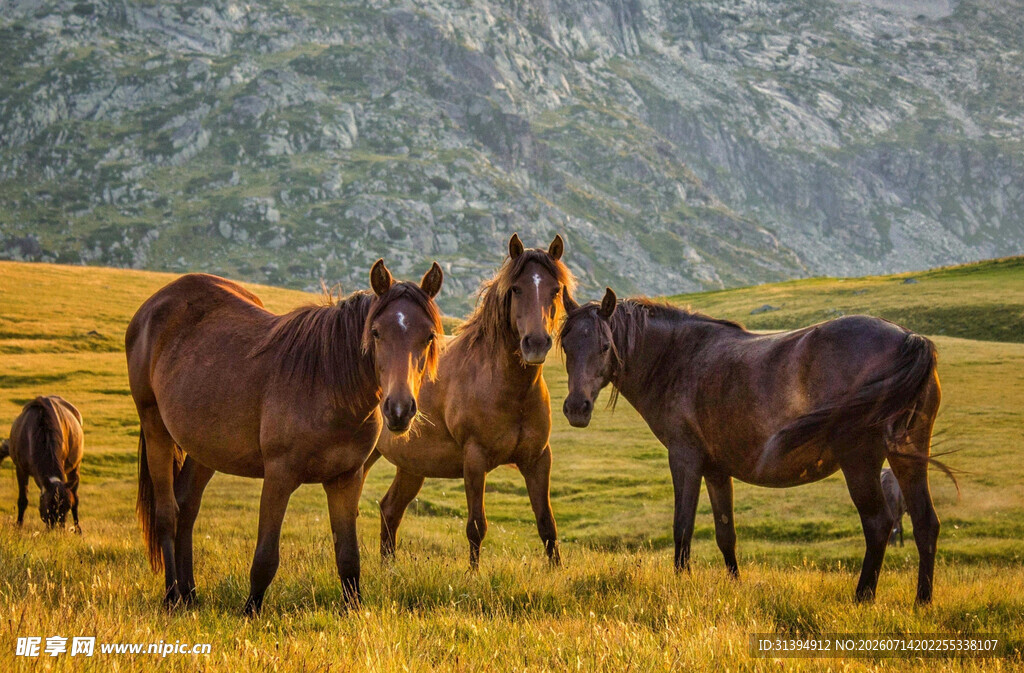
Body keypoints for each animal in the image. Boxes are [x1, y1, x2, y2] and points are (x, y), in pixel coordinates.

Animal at [6, 396, 84, 532]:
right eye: (48, 505)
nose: (56, 531)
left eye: (67, 507)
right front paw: (19, 526)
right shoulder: (20, 468)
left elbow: (74, 499)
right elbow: (23, 500)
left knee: (76, 496)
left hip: (75, 466)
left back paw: (78, 529)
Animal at [126, 259, 444, 613]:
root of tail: (153, 305)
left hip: (204, 448)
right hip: (155, 427)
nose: (399, 410)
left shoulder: (346, 479)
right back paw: (172, 596)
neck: (326, 382)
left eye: (428, 336)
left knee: (187, 507)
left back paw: (190, 594)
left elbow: (348, 557)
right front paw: (250, 611)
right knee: (167, 513)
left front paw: (353, 609)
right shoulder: (279, 475)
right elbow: (266, 557)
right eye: (376, 333)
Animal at [363, 234, 575, 568]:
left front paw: (556, 572)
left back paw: (389, 569)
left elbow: (547, 525)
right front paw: (473, 575)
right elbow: (476, 526)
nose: (536, 343)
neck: (508, 389)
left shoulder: (538, 459)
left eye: (556, 290)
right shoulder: (475, 460)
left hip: (412, 467)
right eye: (516, 289)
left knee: (389, 511)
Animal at [559, 288, 957, 604]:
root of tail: (908, 338)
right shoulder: (717, 471)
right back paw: (922, 602)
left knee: (878, 523)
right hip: (907, 458)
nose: (577, 408)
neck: (678, 359)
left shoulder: (685, 460)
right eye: (565, 346)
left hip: (860, 461)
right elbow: (726, 533)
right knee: (925, 524)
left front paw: (681, 583)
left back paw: (863, 597)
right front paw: (734, 585)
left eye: (604, 346)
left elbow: (682, 526)